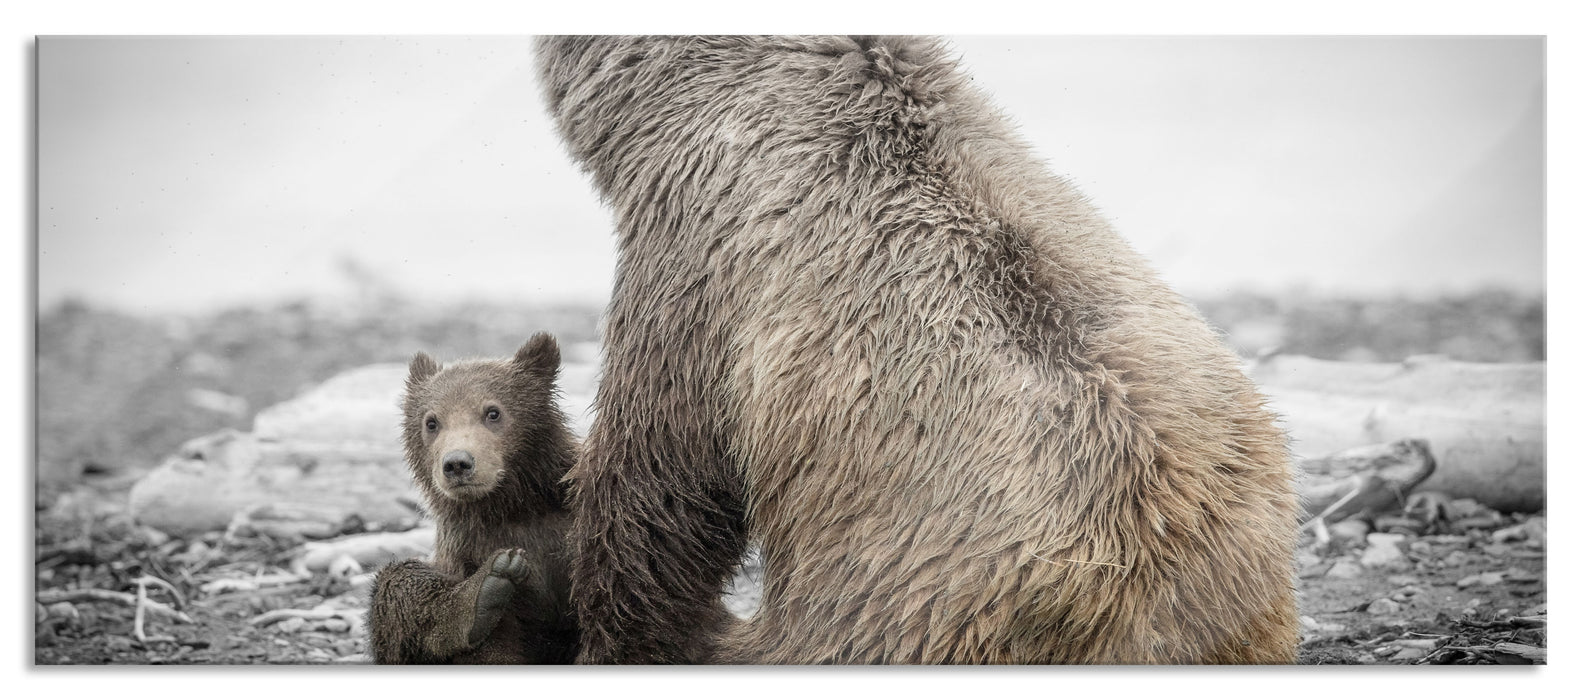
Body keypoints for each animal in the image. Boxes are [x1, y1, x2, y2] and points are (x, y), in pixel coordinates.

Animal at [370, 334, 582, 661]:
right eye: (432, 422)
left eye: (493, 412)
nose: (457, 463)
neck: (512, 505)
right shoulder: (467, 548)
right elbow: (494, 647)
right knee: (396, 582)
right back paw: (484, 592)